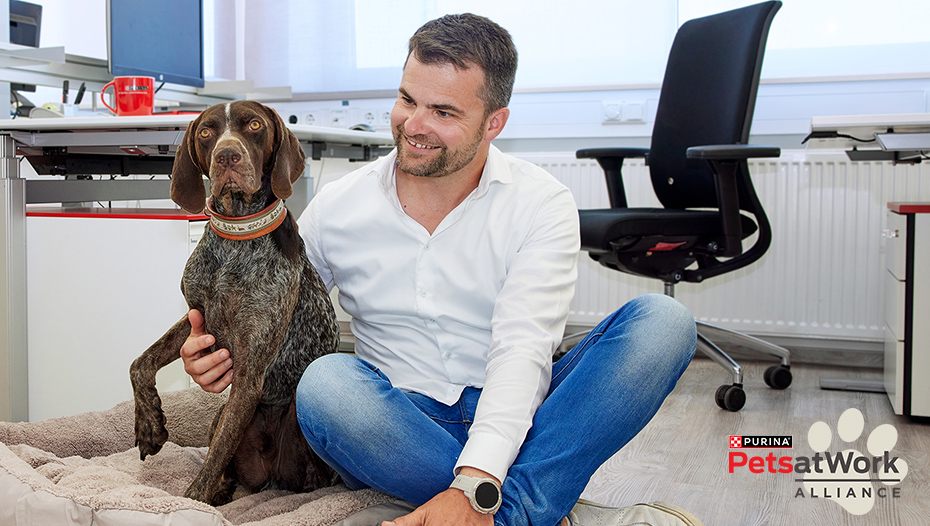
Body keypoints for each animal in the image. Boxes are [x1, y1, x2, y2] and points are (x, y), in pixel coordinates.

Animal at [127, 101, 338, 506]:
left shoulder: (249, 374)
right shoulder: (197, 316)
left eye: (254, 125)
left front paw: (190, 502)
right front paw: (149, 426)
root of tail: (271, 478)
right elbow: (139, 363)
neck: (236, 238)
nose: (227, 155)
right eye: (206, 131)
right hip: (223, 414)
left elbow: (215, 457)